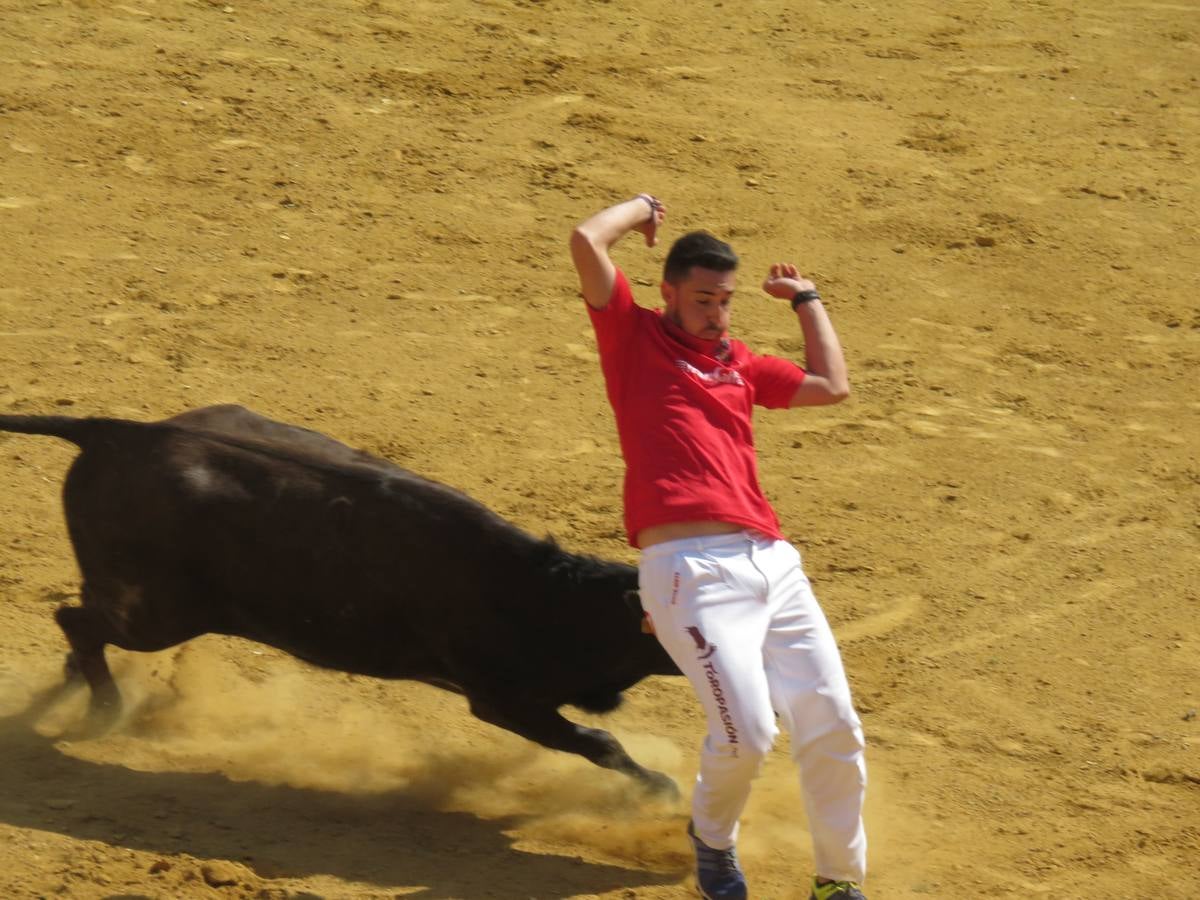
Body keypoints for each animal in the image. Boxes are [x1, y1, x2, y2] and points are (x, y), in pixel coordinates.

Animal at [0, 408, 681, 796]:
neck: (548, 599)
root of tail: (116, 432)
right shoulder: (503, 700)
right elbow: (598, 742)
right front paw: (663, 790)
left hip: (137, 601)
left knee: (84, 621)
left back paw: (75, 689)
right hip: (159, 615)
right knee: (75, 619)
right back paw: (104, 711)